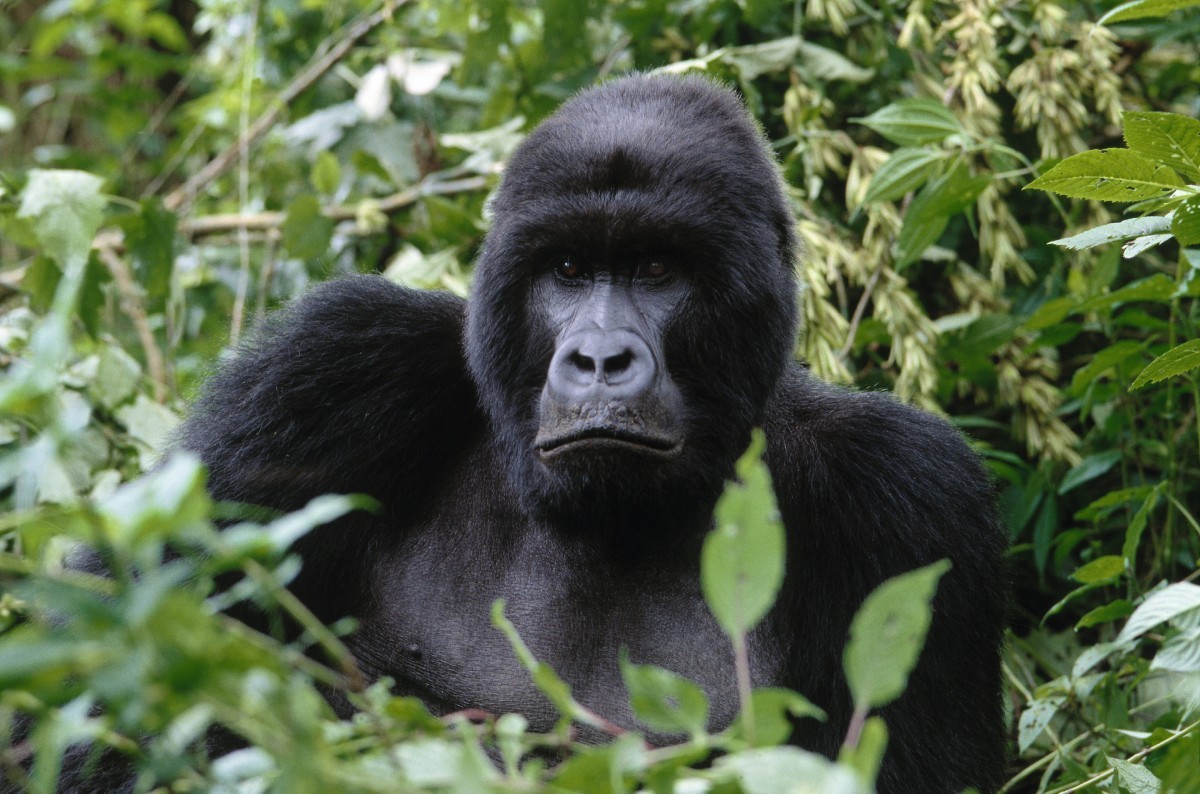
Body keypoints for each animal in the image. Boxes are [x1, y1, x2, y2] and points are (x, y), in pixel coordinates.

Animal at [77, 73, 1012, 791]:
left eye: (656, 269)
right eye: (566, 269)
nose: (599, 359)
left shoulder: (908, 496)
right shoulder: (330, 371)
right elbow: (123, 661)